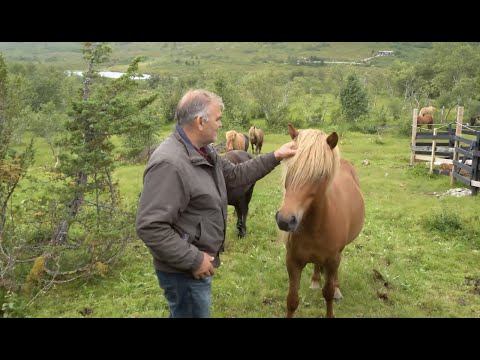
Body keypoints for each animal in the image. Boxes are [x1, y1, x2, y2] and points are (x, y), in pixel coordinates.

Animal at [274, 124, 364, 318]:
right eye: (290, 168)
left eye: (320, 175)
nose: (285, 220)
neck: (315, 227)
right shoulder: (293, 261)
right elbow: (292, 300)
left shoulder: (332, 260)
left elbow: (328, 293)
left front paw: (333, 294)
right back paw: (315, 280)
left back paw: (337, 289)